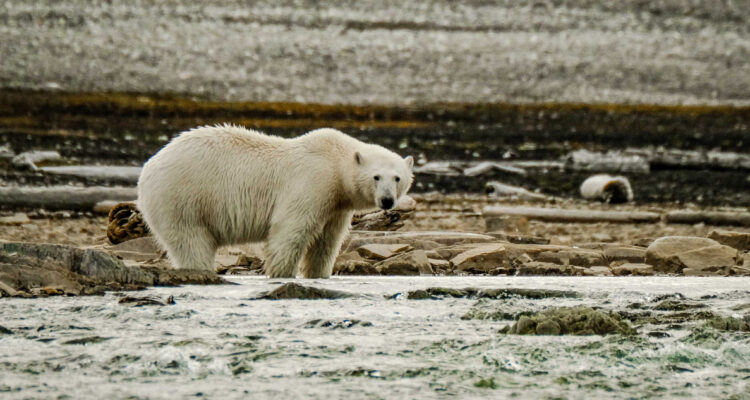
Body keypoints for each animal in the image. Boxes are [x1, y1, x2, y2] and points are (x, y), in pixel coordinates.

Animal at [137, 125, 414, 278]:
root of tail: (149, 166)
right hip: (182, 197)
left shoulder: (336, 205)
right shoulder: (312, 182)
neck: (335, 163)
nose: (387, 200)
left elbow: (326, 241)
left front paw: (319, 274)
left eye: (397, 178)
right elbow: (290, 230)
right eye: (376, 177)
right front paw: (282, 273)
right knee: (191, 240)